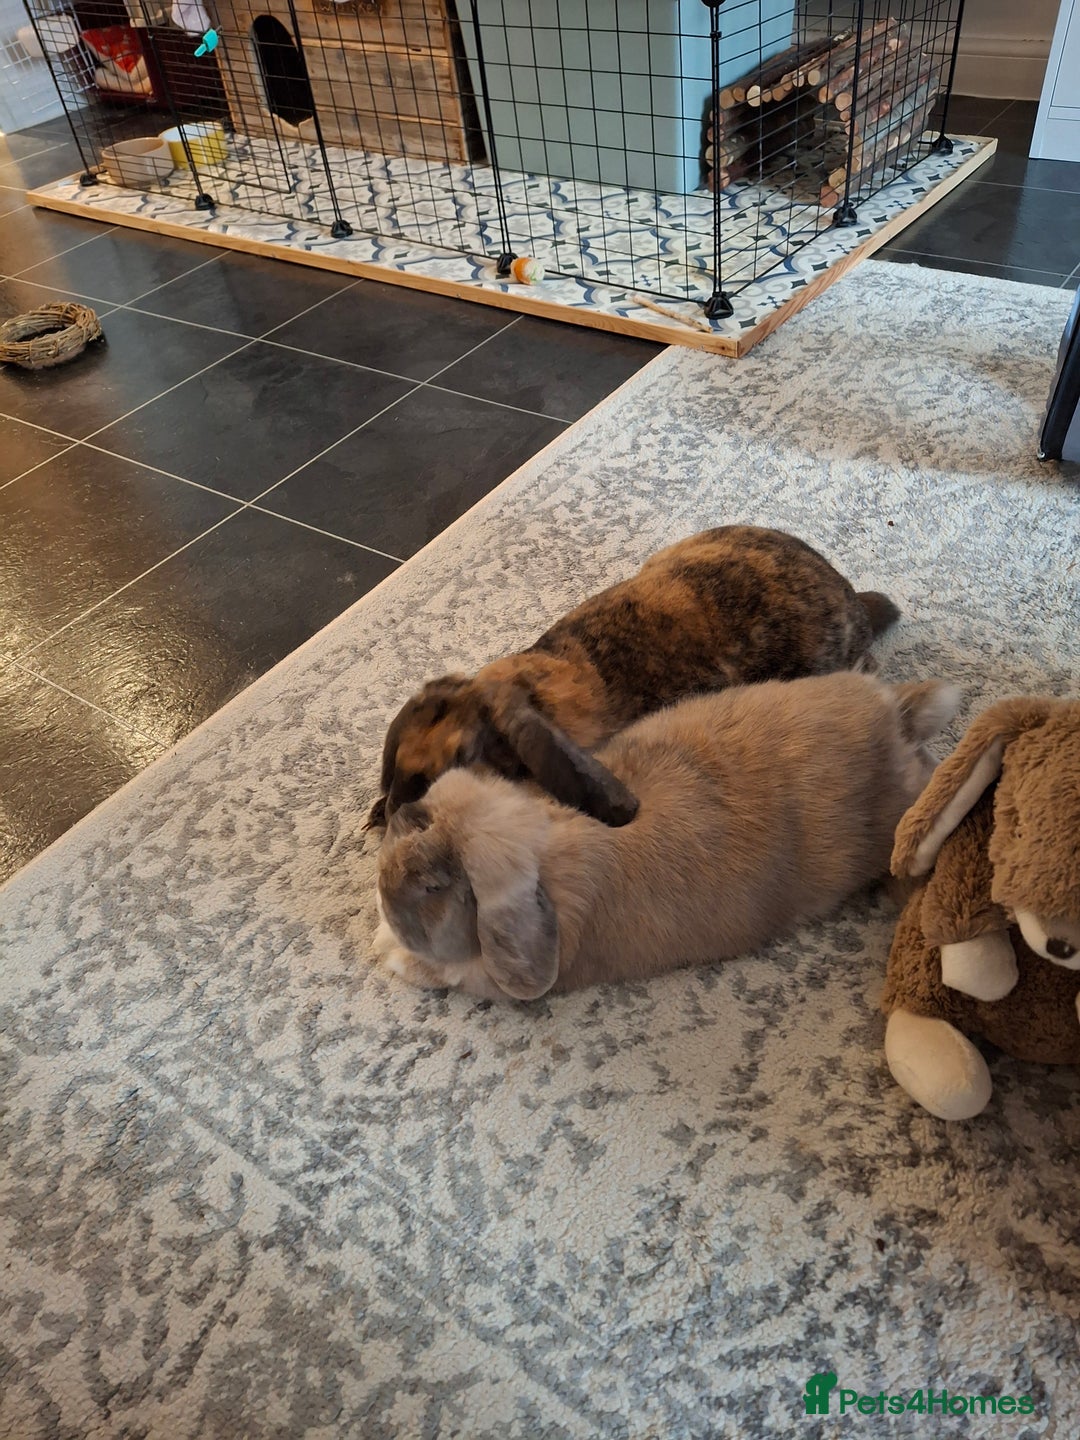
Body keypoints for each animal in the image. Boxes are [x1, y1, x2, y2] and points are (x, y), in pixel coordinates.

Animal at [373, 671, 960, 1001]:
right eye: (420, 820)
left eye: (434, 888)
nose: (385, 886)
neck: (546, 842)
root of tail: (899, 719)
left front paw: (392, 955)